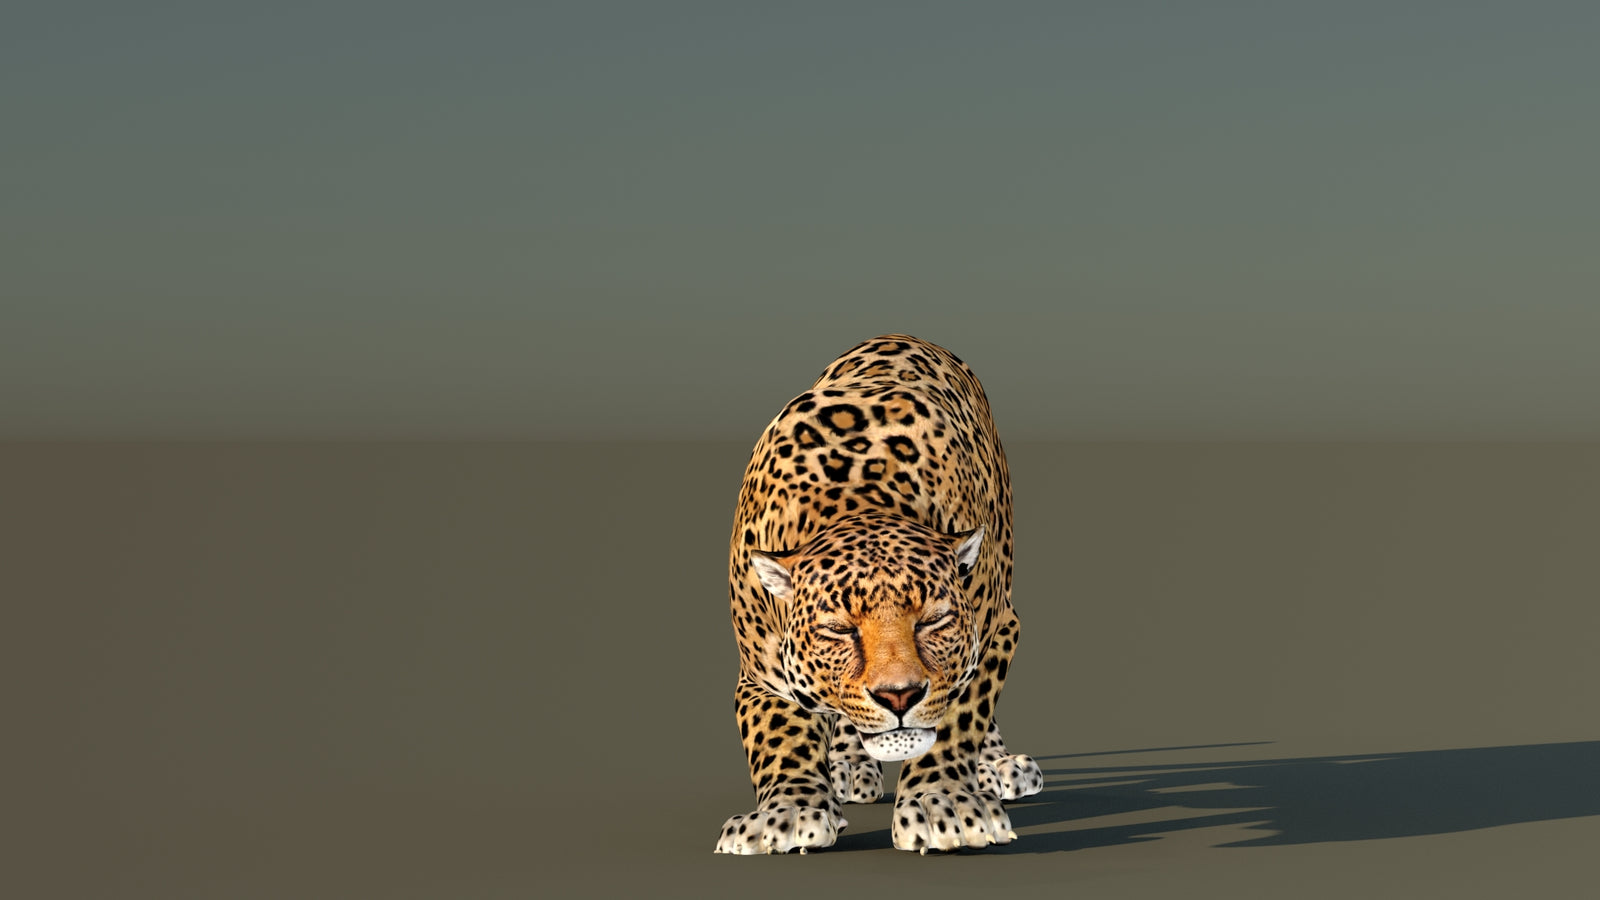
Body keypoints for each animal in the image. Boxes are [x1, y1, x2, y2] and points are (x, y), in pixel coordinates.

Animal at [714, 334, 1043, 856]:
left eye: (933, 621)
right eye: (838, 630)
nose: (899, 695)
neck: (856, 503)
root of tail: (906, 334)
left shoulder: (997, 631)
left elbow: (960, 714)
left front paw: (941, 803)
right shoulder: (761, 676)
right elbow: (779, 738)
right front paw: (788, 813)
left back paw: (997, 766)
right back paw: (848, 765)